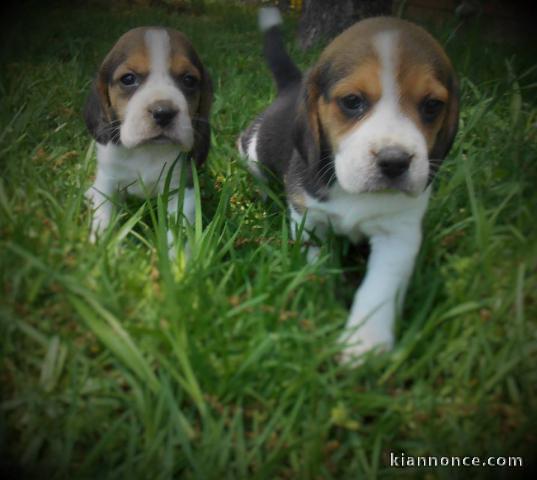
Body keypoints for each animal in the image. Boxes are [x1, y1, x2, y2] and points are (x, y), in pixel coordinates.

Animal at [84, 27, 211, 255]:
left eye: (189, 80)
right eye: (128, 79)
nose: (163, 112)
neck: (147, 150)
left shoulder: (181, 187)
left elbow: (178, 227)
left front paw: (179, 260)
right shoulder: (109, 178)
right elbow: (104, 214)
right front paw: (102, 249)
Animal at [240, 9, 460, 362]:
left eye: (431, 106)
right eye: (352, 101)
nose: (395, 161)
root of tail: (293, 86)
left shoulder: (399, 234)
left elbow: (380, 286)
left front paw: (365, 343)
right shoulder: (308, 218)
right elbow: (316, 259)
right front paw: (321, 299)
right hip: (250, 149)